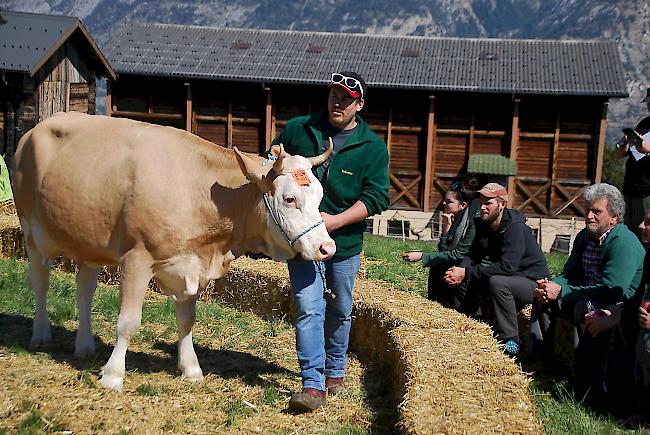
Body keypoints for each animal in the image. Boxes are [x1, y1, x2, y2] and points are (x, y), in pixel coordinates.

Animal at [11, 111, 334, 392]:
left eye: (320, 194)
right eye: (289, 198)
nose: (327, 247)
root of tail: (39, 126)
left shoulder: (192, 263)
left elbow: (186, 320)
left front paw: (190, 368)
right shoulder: (137, 257)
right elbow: (128, 322)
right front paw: (113, 376)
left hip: (88, 240)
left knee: (84, 290)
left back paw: (85, 346)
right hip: (30, 230)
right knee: (40, 281)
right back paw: (41, 334)